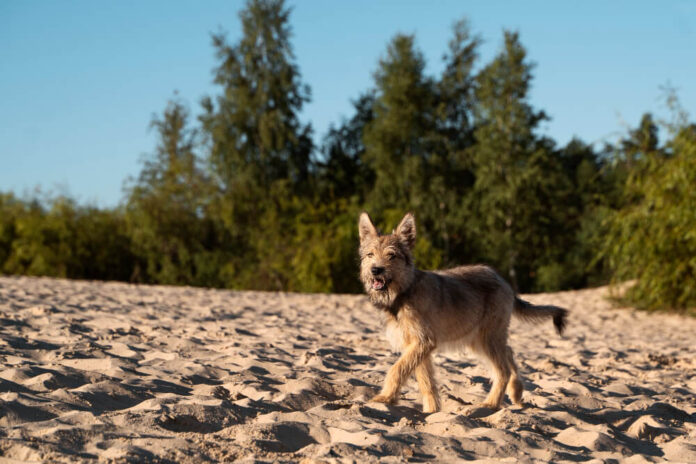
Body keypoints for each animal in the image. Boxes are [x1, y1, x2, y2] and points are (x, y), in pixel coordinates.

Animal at [358, 212, 564, 412]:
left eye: (391, 255)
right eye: (370, 254)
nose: (375, 270)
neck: (403, 292)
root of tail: (503, 280)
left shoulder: (423, 341)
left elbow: (397, 369)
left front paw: (385, 397)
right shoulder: (415, 345)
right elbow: (426, 381)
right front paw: (432, 411)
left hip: (487, 337)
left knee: (503, 369)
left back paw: (491, 404)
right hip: (480, 338)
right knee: (509, 351)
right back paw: (516, 391)